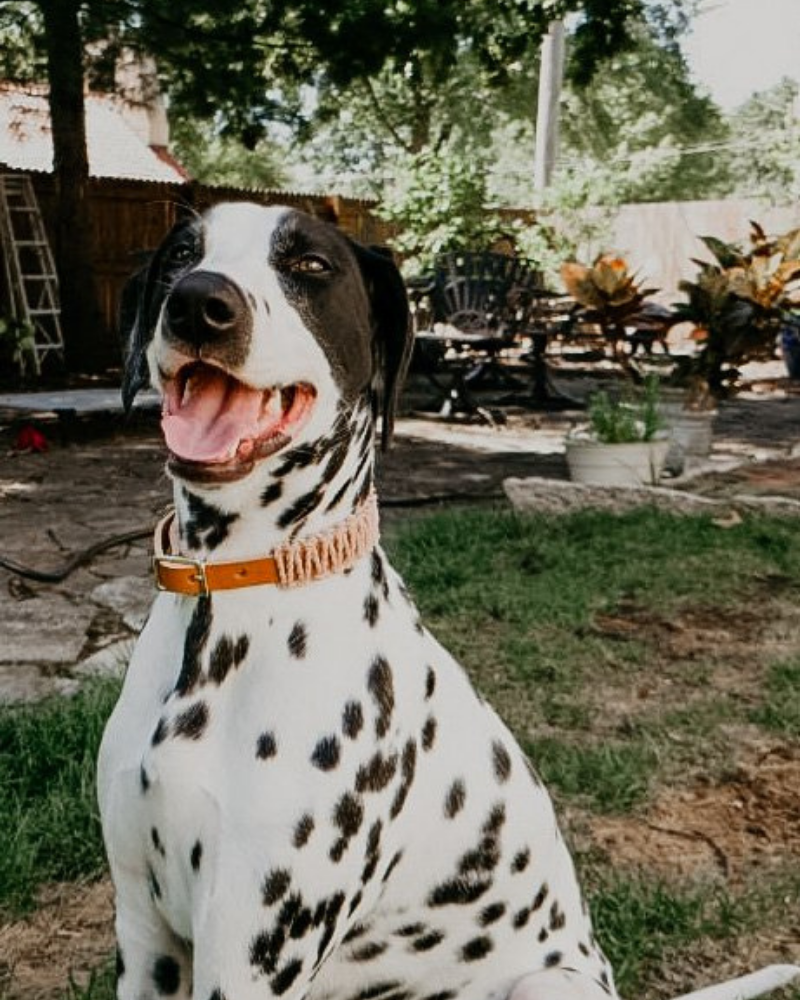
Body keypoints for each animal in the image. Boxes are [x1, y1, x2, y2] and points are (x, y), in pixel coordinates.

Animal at [100, 203, 800, 1000]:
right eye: (183, 254)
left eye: (310, 265)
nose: (199, 302)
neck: (234, 591)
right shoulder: (145, 940)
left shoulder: (250, 955)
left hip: (546, 984)